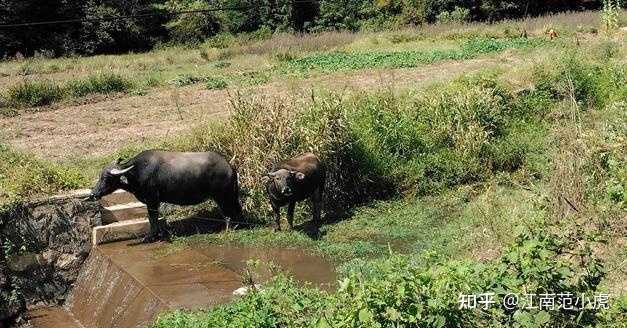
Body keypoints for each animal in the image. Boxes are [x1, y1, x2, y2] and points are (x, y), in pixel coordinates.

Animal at [88, 150, 243, 242]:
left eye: (106, 178)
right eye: (100, 176)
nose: (93, 194)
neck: (136, 172)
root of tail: (230, 167)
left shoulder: (152, 200)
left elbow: (152, 218)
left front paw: (150, 237)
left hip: (223, 196)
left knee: (230, 212)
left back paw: (230, 229)